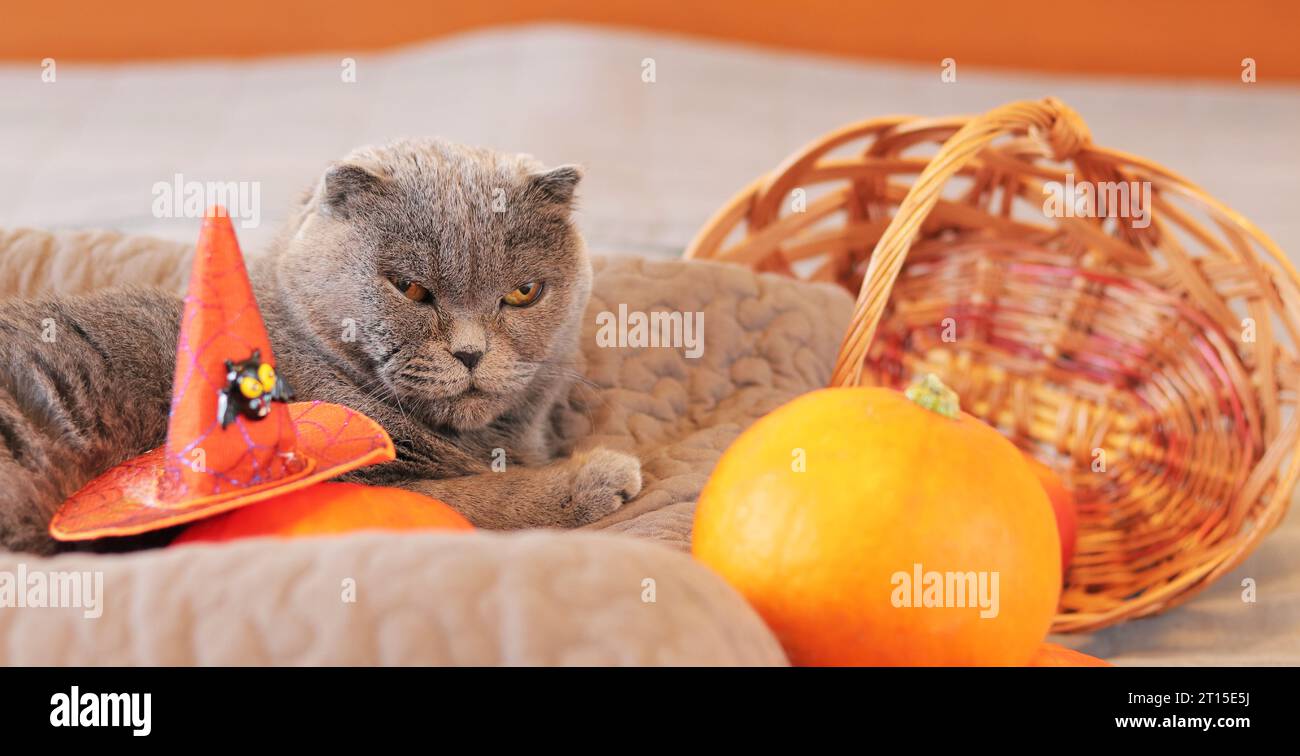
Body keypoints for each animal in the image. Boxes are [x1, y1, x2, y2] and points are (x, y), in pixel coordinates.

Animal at [0, 138, 642, 553]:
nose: (470, 353)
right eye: (410, 288)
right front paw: (597, 475)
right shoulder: (360, 480)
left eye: (524, 292)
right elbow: (490, 496)